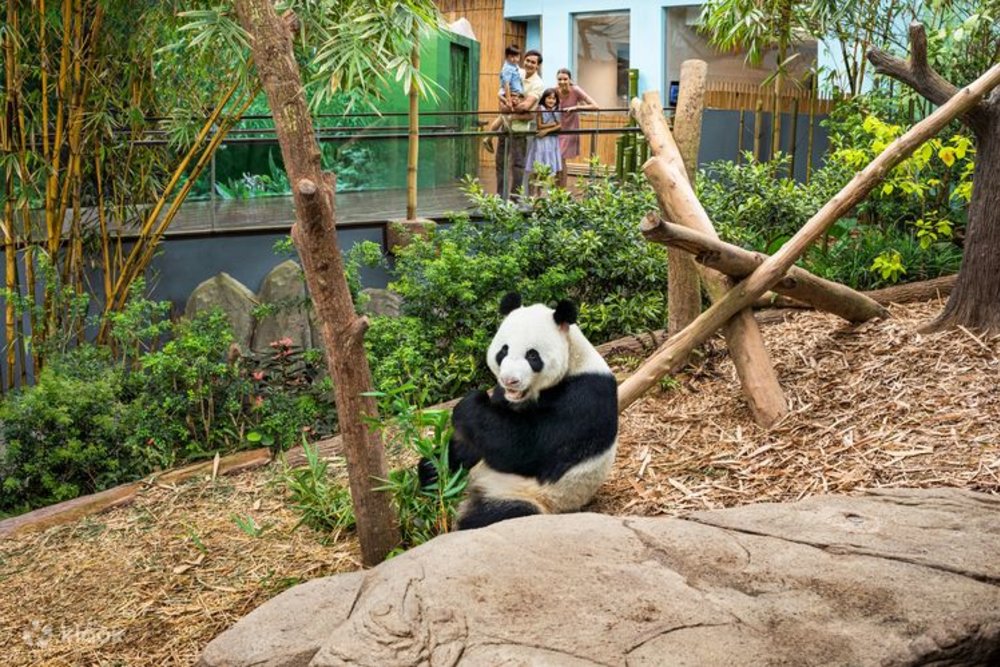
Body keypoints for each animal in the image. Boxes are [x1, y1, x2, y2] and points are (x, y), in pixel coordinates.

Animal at [420, 292, 619, 530]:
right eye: (503, 350)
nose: (509, 380)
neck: (574, 358)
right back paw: (432, 473)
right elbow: (479, 440)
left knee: (496, 514)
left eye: (532, 356)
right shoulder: (504, 397)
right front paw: (435, 466)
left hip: (530, 495)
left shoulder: (584, 396)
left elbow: (525, 448)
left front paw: (469, 404)